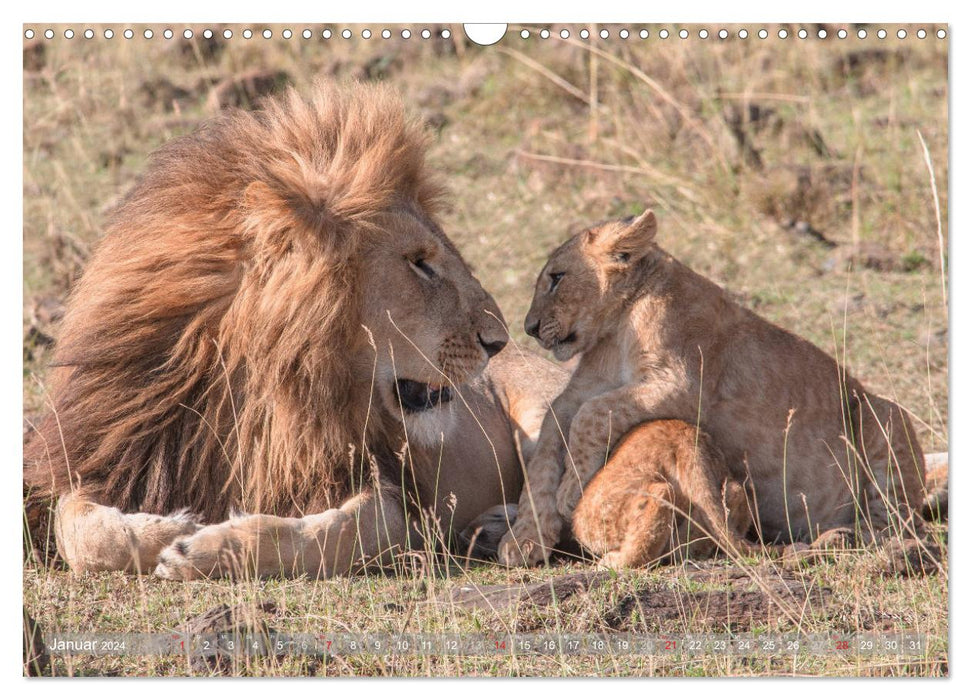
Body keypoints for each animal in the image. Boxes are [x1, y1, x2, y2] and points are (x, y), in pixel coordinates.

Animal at [24, 82, 568, 580]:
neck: (255, 387)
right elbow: (82, 531)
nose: (499, 341)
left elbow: (328, 533)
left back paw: (504, 532)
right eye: (419, 263)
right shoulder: (109, 455)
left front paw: (202, 546)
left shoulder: (391, 496)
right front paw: (170, 526)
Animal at [502, 209, 928, 568]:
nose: (529, 328)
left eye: (556, 278)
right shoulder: (579, 392)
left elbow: (593, 414)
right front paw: (524, 539)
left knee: (898, 523)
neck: (617, 326)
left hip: (882, 413)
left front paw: (571, 489)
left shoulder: (683, 384)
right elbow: (546, 451)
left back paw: (852, 538)